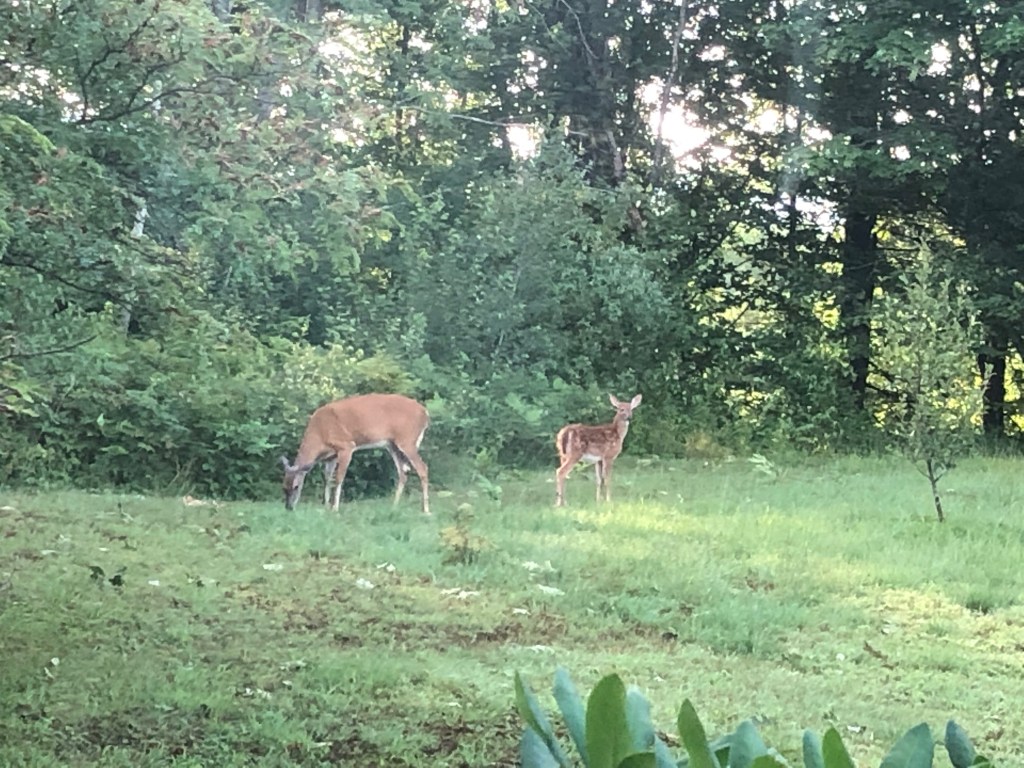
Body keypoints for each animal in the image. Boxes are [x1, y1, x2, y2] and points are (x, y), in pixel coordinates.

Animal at [280, 393, 431, 515]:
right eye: (284, 487)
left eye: (296, 486)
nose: (288, 508)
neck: (320, 433)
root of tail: (425, 412)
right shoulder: (331, 456)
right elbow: (327, 478)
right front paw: (325, 506)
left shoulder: (346, 446)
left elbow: (339, 478)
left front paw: (335, 508)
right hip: (392, 445)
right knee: (403, 472)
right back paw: (394, 506)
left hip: (407, 440)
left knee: (422, 468)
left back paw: (426, 510)